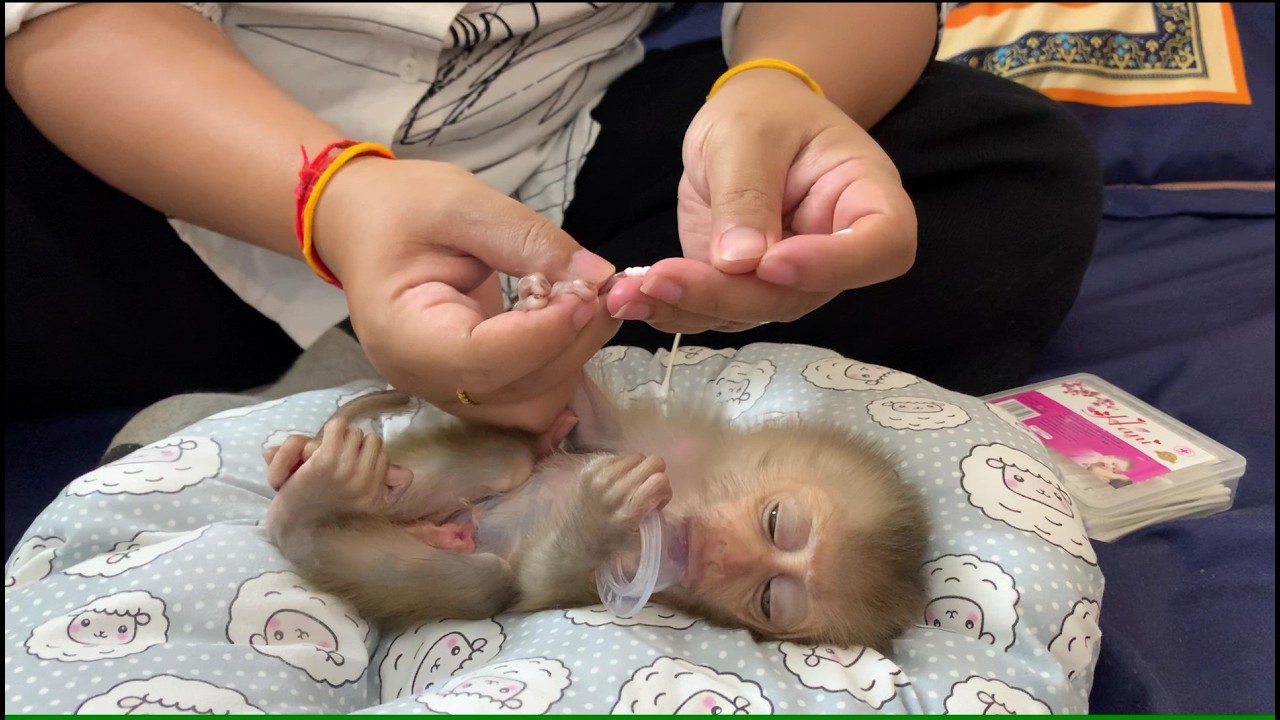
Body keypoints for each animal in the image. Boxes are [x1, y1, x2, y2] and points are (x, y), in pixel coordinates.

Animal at [262, 375, 930, 652]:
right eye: (777, 523)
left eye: (770, 600)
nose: (718, 555)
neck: (690, 493)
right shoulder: (661, 443)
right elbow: (592, 423)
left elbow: (537, 586)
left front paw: (597, 517)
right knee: (507, 457)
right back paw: (315, 469)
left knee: (485, 580)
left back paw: (305, 505)